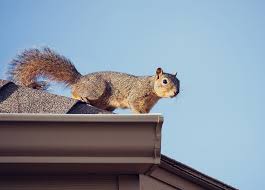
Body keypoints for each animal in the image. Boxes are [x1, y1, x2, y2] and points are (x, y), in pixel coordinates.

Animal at [7, 47, 179, 113]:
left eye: (179, 83)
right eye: (165, 81)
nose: (176, 92)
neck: (151, 88)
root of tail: (80, 79)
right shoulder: (136, 95)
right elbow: (134, 105)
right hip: (96, 89)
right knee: (74, 91)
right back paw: (80, 96)